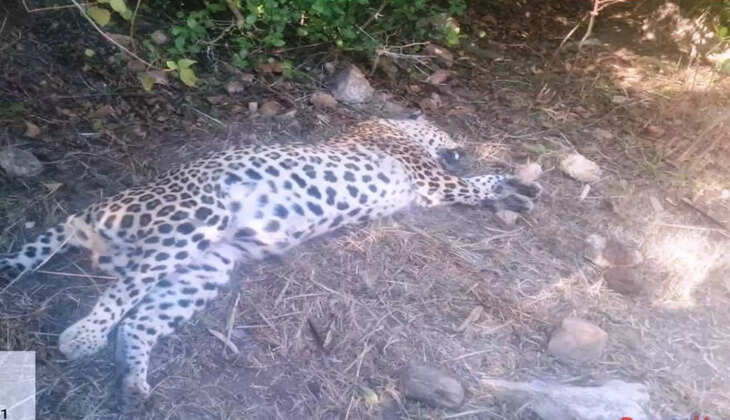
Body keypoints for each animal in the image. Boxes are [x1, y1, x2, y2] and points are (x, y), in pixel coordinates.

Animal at [0, 113, 542, 411]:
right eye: (445, 130)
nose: (461, 146)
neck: (386, 122)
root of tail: (96, 209)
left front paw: (518, 193)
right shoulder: (433, 181)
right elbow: (477, 183)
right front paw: (516, 184)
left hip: (206, 266)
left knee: (139, 319)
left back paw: (134, 386)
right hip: (196, 216)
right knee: (121, 288)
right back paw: (82, 337)